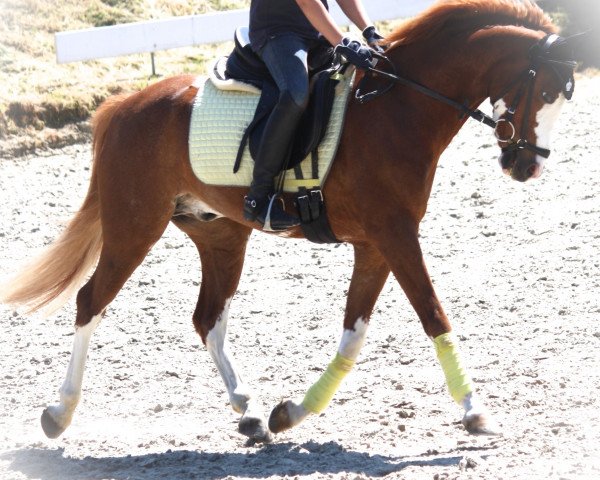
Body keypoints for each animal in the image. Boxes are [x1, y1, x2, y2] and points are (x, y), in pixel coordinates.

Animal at [2, 0, 580, 444]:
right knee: (90, 302)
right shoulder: (395, 235)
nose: (528, 166)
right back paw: (58, 414)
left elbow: (353, 336)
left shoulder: (376, 244)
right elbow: (434, 315)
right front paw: (474, 411)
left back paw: (250, 412)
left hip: (220, 233)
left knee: (207, 317)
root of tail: (121, 105)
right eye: (544, 92)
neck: (400, 107)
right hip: (134, 226)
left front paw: (291, 413)